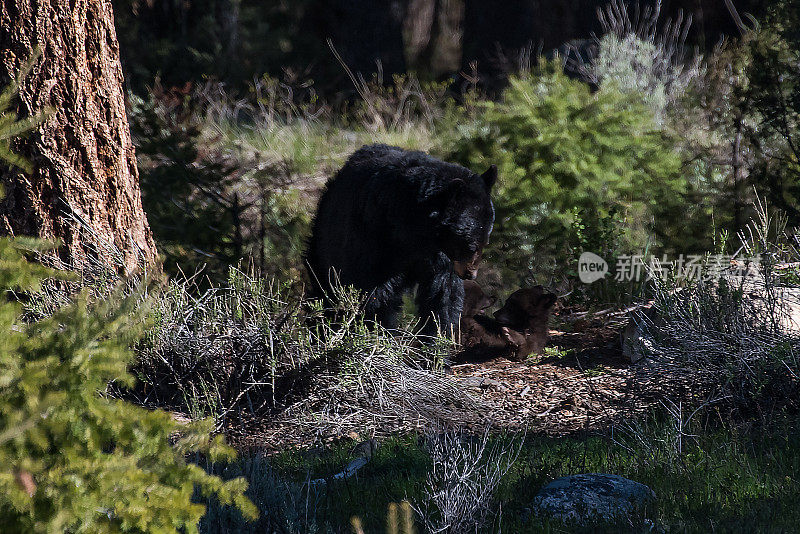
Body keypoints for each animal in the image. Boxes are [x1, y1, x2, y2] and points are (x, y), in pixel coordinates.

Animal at [304, 142, 494, 336]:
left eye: (485, 241)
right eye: (471, 245)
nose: (471, 274)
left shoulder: (440, 255)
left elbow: (443, 292)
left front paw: (439, 335)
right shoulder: (372, 237)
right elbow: (374, 294)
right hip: (326, 242)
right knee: (324, 286)